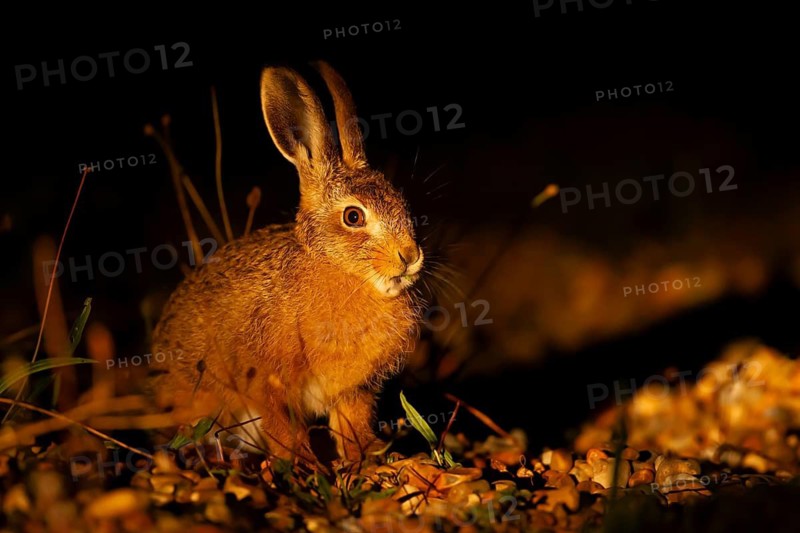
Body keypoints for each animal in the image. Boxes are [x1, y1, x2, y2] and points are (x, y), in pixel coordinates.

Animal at [148, 61, 424, 464]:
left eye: (401, 202)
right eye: (353, 217)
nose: (410, 256)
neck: (339, 271)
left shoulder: (352, 392)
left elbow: (352, 426)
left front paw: (368, 460)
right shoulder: (270, 383)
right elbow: (284, 431)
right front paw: (302, 466)